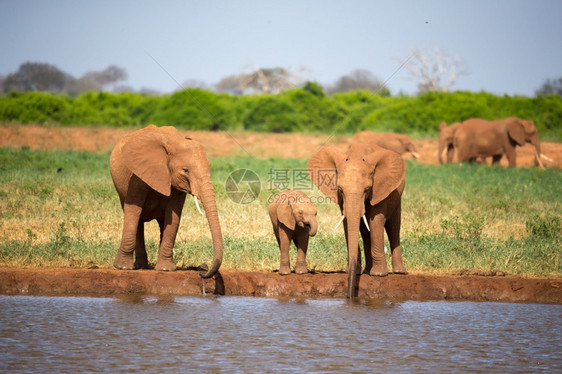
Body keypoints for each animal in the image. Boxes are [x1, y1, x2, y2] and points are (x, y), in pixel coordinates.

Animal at [108, 124, 222, 280]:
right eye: (185, 170)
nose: (203, 270)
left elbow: (173, 215)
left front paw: (166, 270)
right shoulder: (137, 174)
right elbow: (133, 211)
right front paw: (122, 267)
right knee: (136, 219)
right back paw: (140, 267)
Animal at [306, 143, 406, 298]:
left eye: (367, 189)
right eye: (340, 189)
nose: (349, 296)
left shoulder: (379, 188)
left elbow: (376, 221)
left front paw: (379, 275)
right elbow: (348, 221)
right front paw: (355, 271)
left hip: (396, 195)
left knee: (393, 228)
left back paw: (398, 272)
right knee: (365, 232)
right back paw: (367, 271)